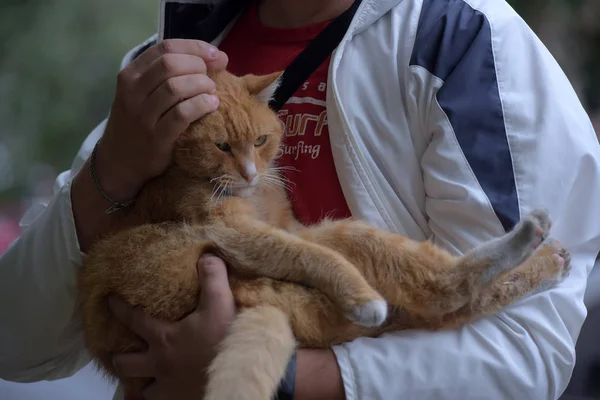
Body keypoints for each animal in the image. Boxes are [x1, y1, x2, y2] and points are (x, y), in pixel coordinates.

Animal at [77, 69, 568, 400]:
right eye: (221, 146)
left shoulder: (287, 226)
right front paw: (359, 292)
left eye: (260, 141)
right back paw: (531, 245)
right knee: (441, 296)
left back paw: (545, 253)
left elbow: (298, 245)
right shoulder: (229, 229)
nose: (250, 173)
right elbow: (307, 254)